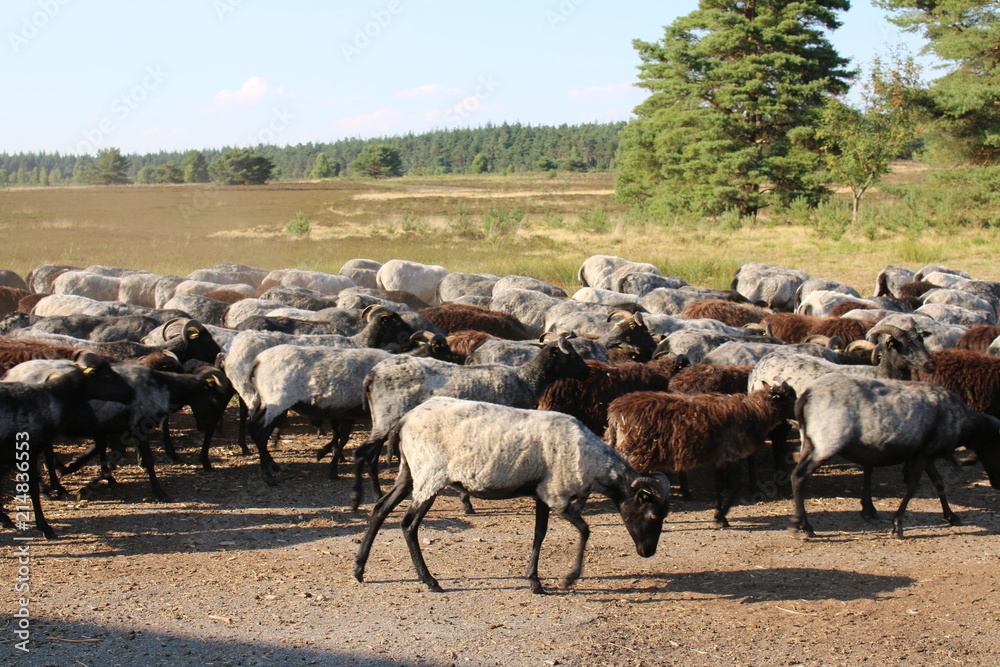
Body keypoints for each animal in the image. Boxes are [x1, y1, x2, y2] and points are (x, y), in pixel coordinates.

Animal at [0, 351, 135, 538]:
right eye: (105, 375)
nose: (132, 392)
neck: (56, 396)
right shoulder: (29, 451)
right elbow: (32, 489)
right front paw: (44, 526)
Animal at [350, 337, 591, 509]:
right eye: (572, 355)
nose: (587, 372)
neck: (527, 380)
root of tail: (372, 375)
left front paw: (466, 499)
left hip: (380, 418)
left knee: (371, 455)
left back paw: (376, 494)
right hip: (387, 416)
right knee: (361, 453)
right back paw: (356, 498)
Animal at [353, 396, 669, 594]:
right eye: (654, 514)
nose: (648, 552)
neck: (593, 461)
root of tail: (404, 419)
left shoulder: (542, 493)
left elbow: (539, 534)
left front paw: (535, 582)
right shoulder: (556, 494)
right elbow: (585, 530)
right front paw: (568, 579)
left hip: (410, 471)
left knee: (380, 508)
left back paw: (359, 569)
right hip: (430, 474)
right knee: (408, 524)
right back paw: (429, 580)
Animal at [604, 381, 796, 528]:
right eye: (791, 397)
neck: (755, 411)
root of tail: (614, 411)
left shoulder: (719, 458)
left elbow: (720, 487)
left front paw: (718, 515)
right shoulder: (730, 456)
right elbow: (735, 486)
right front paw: (721, 518)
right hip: (635, 452)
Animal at [790, 373, 1000, 538]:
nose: (997, 484)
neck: (964, 423)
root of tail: (807, 394)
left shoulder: (925, 453)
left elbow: (938, 483)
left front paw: (951, 516)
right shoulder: (924, 455)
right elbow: (912, 487)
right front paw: (898, 525)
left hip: (809, 442)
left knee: (795, 475)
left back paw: (802, 524)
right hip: (828, 442)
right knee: (799, 476)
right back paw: (805, 526)